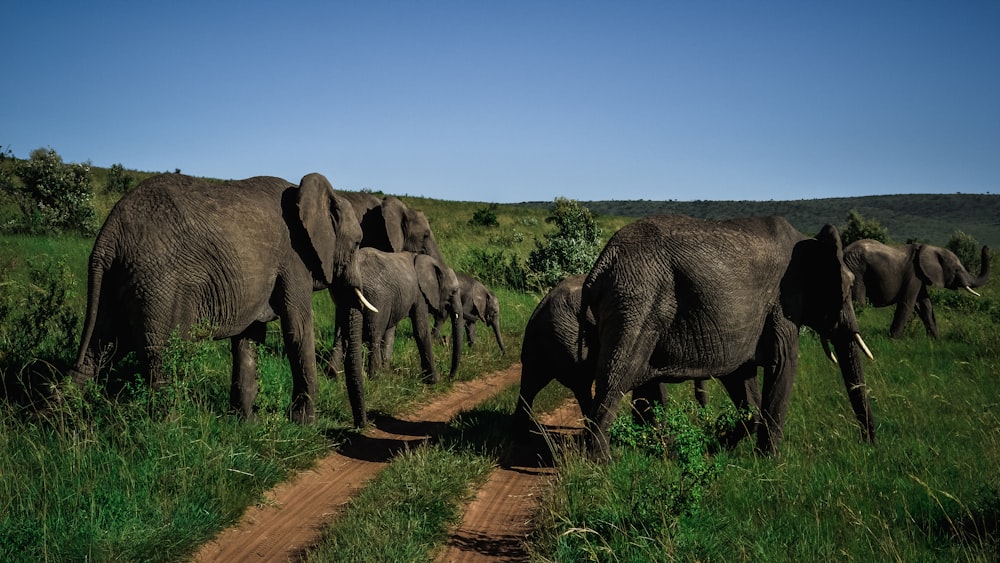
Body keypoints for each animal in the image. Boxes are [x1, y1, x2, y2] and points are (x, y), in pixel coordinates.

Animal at [69, 172, 376, 424]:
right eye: (357, 243)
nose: (362, 426)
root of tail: (108, 237)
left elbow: (249, 339)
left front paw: (248, 424)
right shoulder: (293, 260)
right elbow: (298, 329)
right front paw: (304, 424)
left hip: (116, 283)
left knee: (98, 352)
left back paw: (64, 426)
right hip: (159, 285)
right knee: (162, 359)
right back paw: (170, 433)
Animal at [352, 249, 464, 386]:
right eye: (454, 292)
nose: (449, 378)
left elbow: (390, 331)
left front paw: (387, 373)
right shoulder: (420, 294)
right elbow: (421, 331)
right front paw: (433, 380)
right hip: (376, 297)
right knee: (374, 335)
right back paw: (376, 379)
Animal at [580, 215, 876, 458]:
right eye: (848, 287)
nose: (869, 445)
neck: (809, 241)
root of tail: (601, 264)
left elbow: (742, 377)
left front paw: (718, 446)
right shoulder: (783, 301)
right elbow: (784, 363)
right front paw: (769, 462)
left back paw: (666, 453)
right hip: (636, 303)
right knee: (616, 378)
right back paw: (603, 463)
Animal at [840, 239, 988, 338]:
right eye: (957, 269)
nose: (986, 246)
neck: (931, 248)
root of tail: (843, 251)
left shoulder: (920, 275)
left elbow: (925, 304)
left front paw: (935, 340)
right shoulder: (914, 274)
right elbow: (908, 303)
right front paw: (893, 339)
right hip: (857, 270)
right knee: (859, 302)